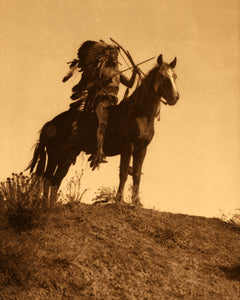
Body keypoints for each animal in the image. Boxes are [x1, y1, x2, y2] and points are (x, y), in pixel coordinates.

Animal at [27, 54, 178, 206]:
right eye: (163, 76)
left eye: (174, 76)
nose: (175, 97)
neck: (139, 113)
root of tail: (50, 123)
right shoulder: (127, 146)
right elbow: (123, 173)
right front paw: (119, 200)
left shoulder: (141, 149)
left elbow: (136, 174)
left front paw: (135, 202)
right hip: (55, 154)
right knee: (48, 178)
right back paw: (46, 204)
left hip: (67, 156)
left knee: (55, 180)